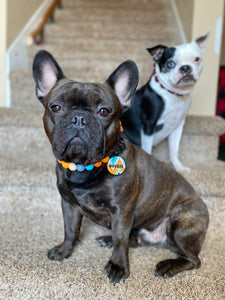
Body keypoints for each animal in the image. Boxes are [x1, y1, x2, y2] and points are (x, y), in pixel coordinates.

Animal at [121, 32, 209, 171]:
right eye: (170, 64)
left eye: (196, 59)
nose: (185, 68)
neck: (173, 94)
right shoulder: (148, 125)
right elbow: (148, 150)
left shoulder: (177, 126)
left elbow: (174, 149)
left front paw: (179, 167)